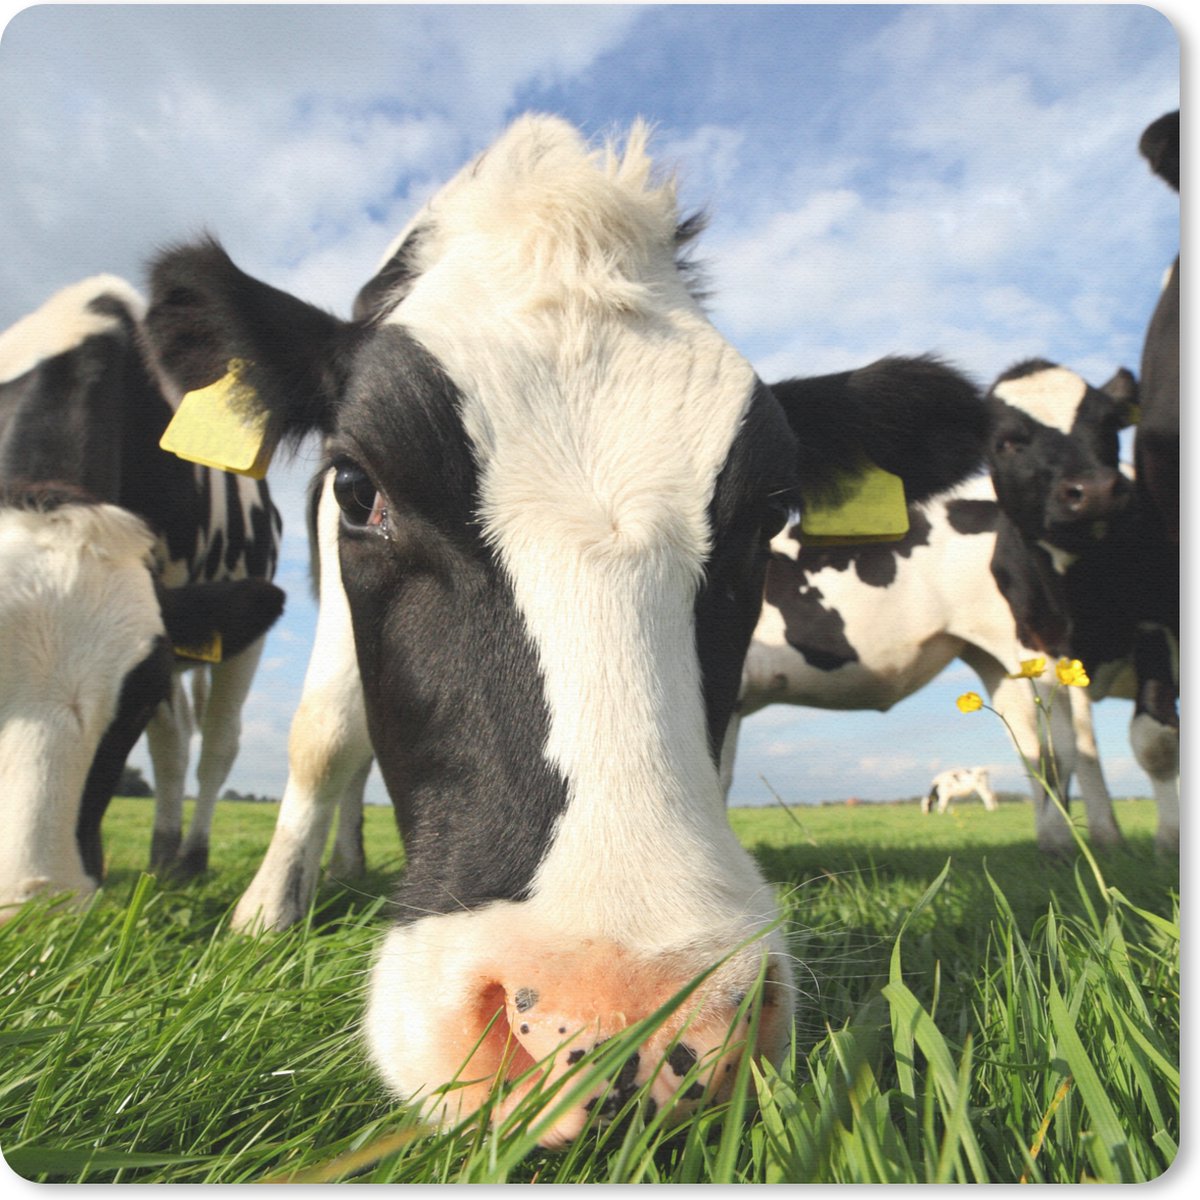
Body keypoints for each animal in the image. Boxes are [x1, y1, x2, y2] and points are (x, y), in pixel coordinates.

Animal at [729, 473, 1122, 852]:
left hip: (1037, 638)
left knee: (1060, 749)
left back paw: (1063, 847)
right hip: (1001, 661)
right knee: (1047, 746)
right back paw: (1088, 839)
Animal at [984, 358, 1178, 853]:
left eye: (1108, 423)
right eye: (1007, 441)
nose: (1093, 490)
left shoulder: (1156, 626)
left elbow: (1155, 740)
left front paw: (1171, 839)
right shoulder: (1040, 648)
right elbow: (1056, 754)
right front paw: (1057, 843)